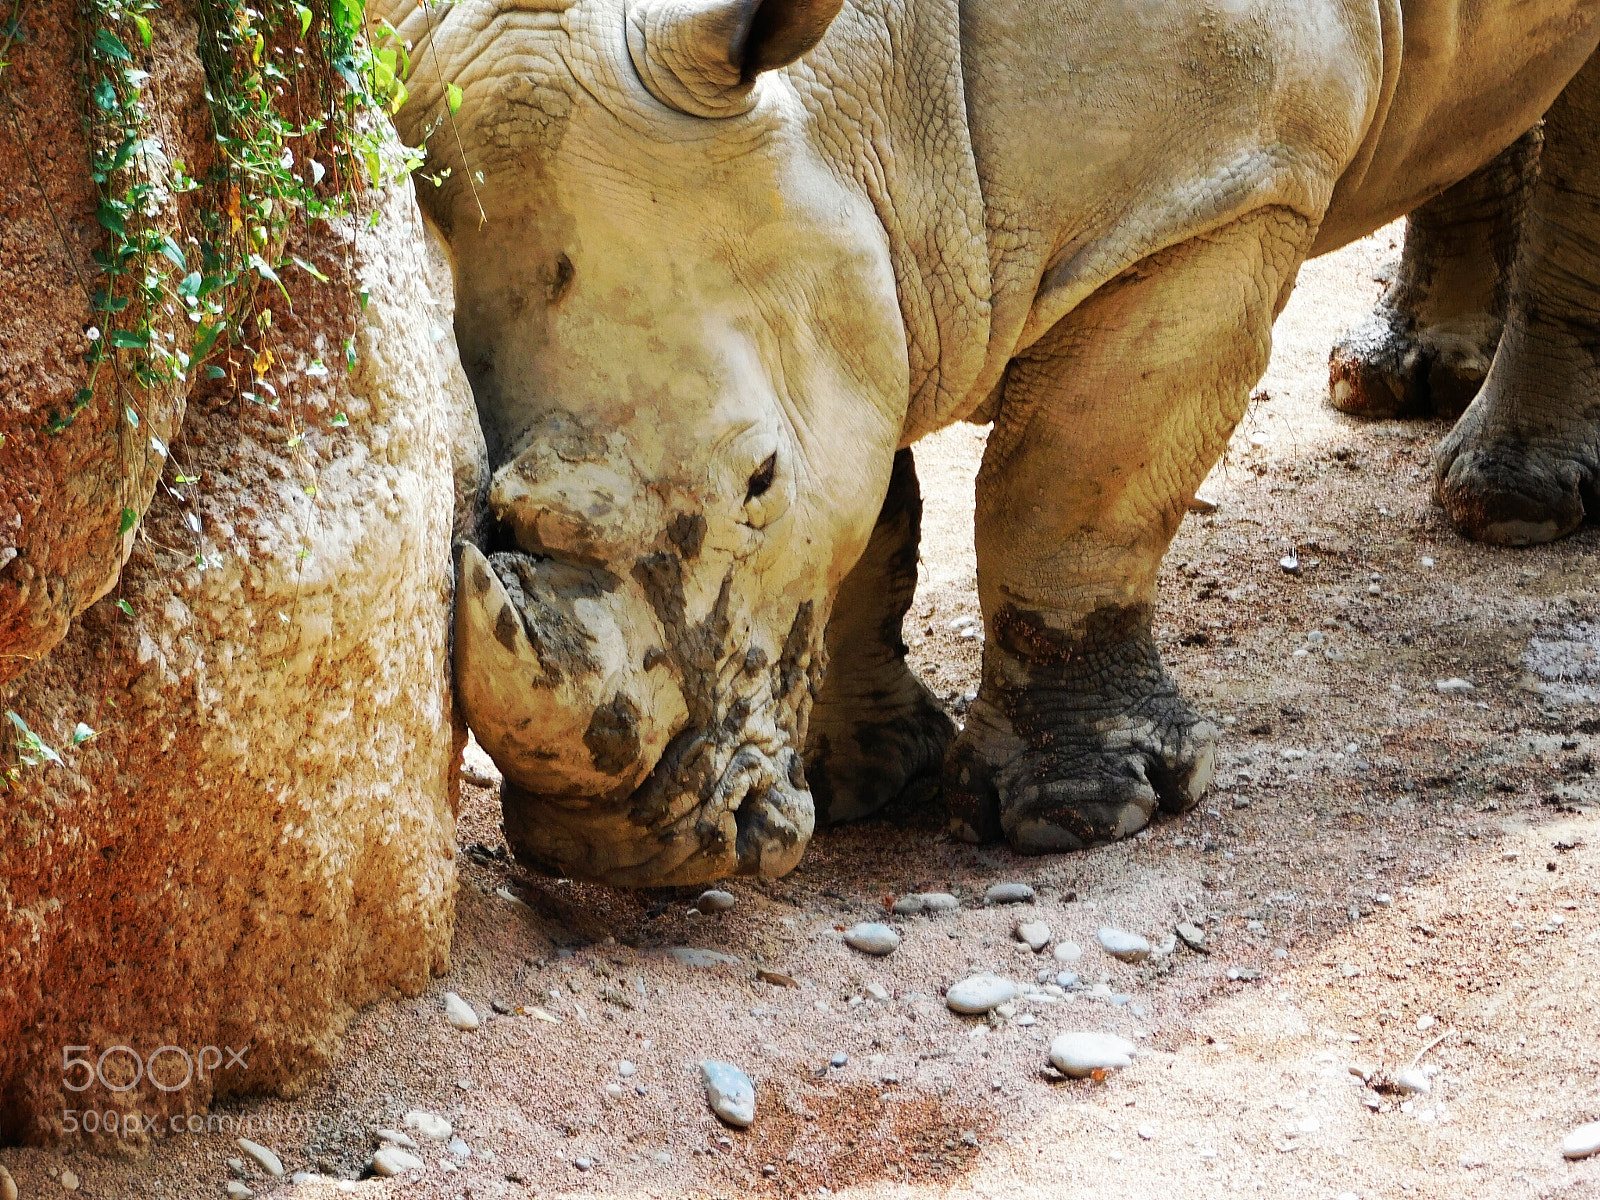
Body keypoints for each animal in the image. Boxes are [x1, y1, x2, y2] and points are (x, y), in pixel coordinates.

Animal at [375, 0, 1600, 884]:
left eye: (758, 482)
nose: (618, 857)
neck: (868, 88)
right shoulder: (859, 256)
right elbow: (873, 502)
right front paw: (866, 778)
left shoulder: (1209, 196)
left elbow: (1066, 483)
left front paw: (1080, 819)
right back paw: (1401, 385)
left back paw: (1511, 511)